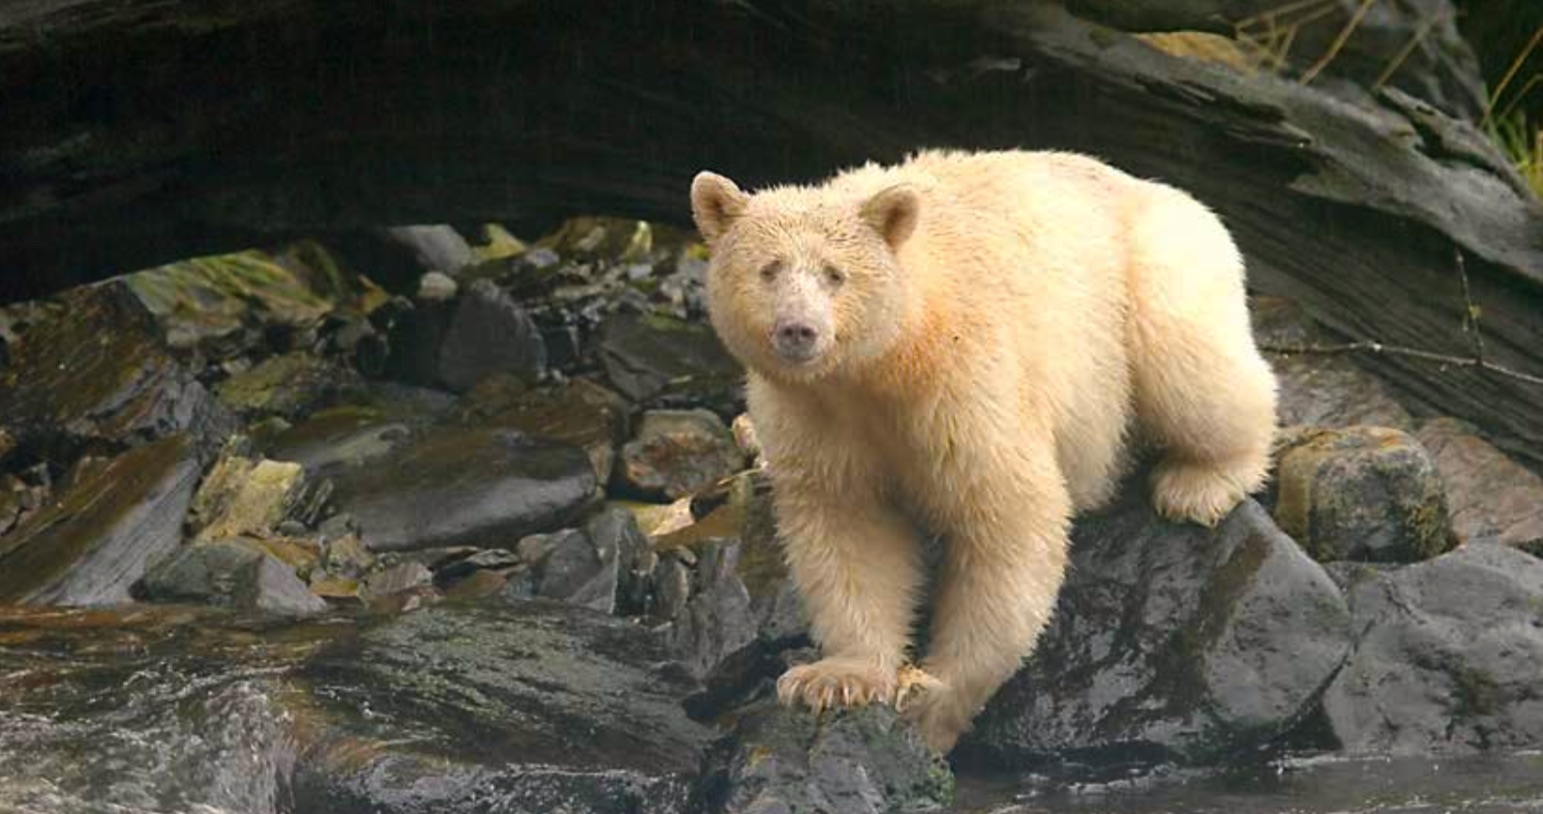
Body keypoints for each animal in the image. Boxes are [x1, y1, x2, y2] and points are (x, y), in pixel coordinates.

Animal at [688, 148, 1277, 749]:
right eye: (768, 268)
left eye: (836, 273)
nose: (798, 329)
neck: (888, 361)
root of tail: (1161, 190)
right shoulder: (815, 417)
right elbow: (849, 526)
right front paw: (838, 678)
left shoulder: (965, 381)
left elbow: (1009, 517)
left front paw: (933, 700)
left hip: (1151, 273)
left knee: (1188, 362)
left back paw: (1201, 481)